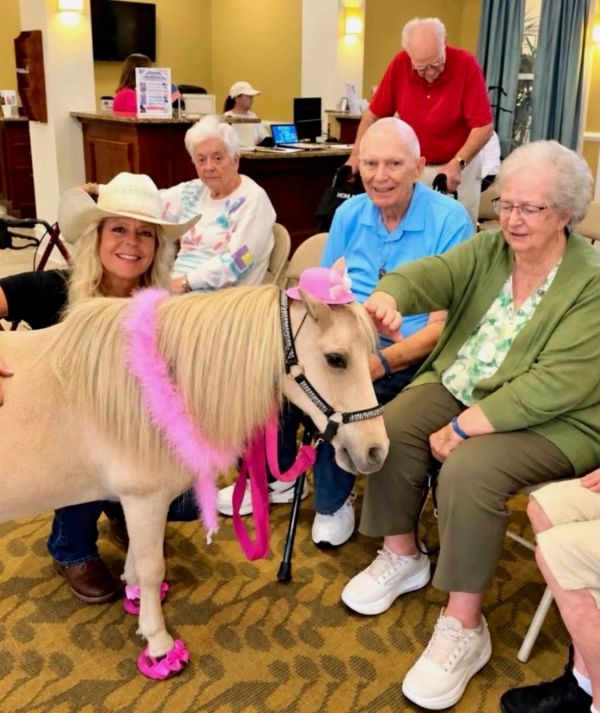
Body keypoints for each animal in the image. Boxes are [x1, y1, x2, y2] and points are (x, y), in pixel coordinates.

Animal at [0, 283, 388, 679]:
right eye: (336, 359)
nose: (376, 450)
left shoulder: (140, 503)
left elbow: (139, 559)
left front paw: (134, 596)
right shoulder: (144, 499)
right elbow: (152, 567)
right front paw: (158, 645)